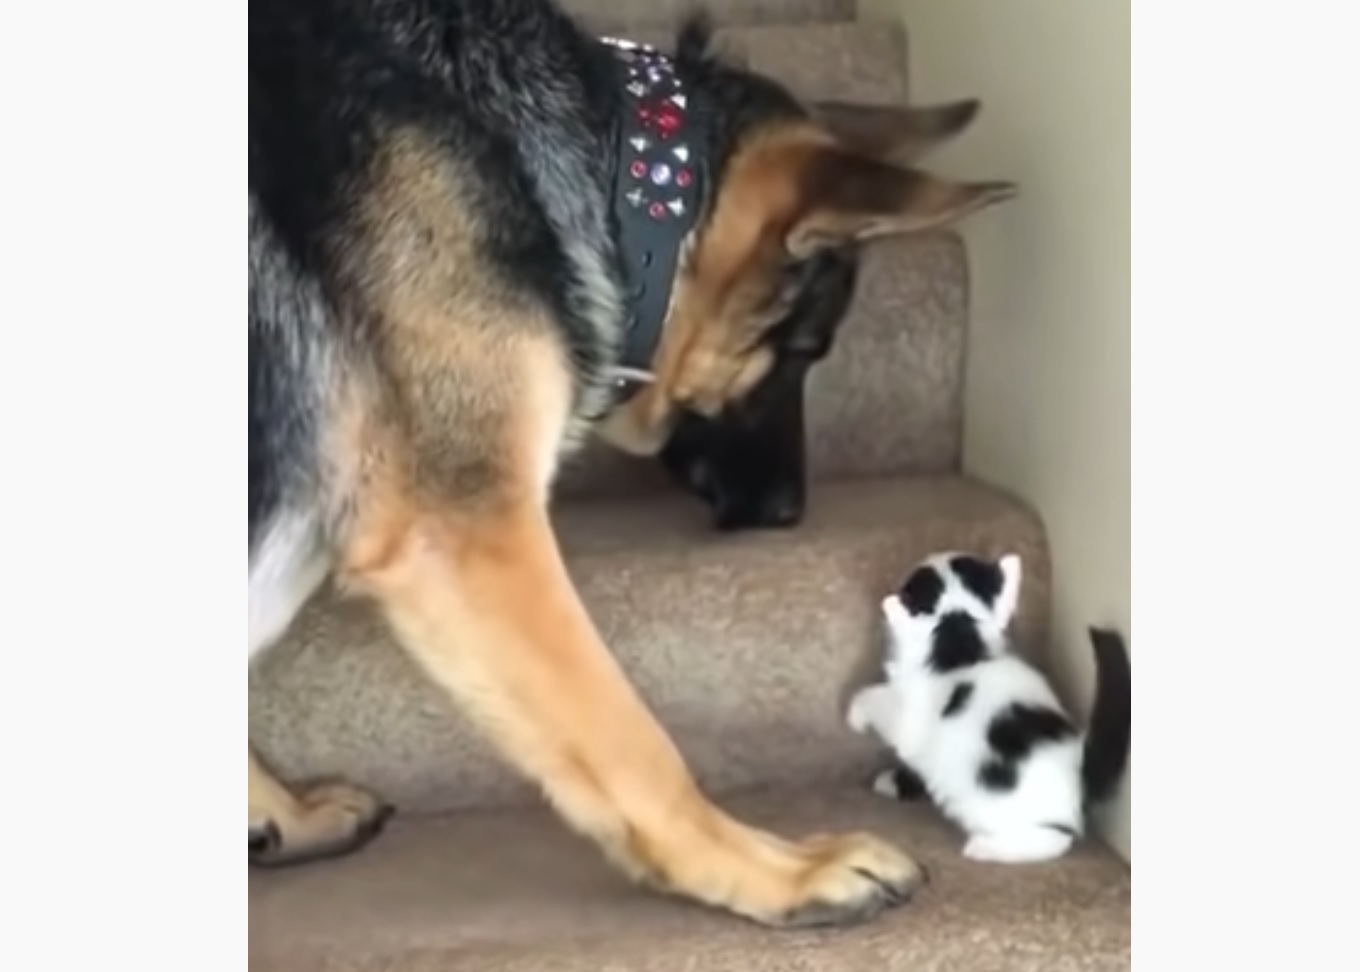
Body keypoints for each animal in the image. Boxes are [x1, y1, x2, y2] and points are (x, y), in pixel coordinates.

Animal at [250, 0, 1011, 929]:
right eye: (802, 349)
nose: (787, 512)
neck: (627, 166)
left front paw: (281, 815)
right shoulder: (469, 541)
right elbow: (633, 744)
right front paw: (781, 870)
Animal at [848, 551, 1126, 864]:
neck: (958, 634)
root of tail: (1083, 768)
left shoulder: (909, 720)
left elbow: (876, 697)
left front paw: (855, 714)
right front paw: (895, 782)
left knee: (1057, 839)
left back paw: (985, 846)